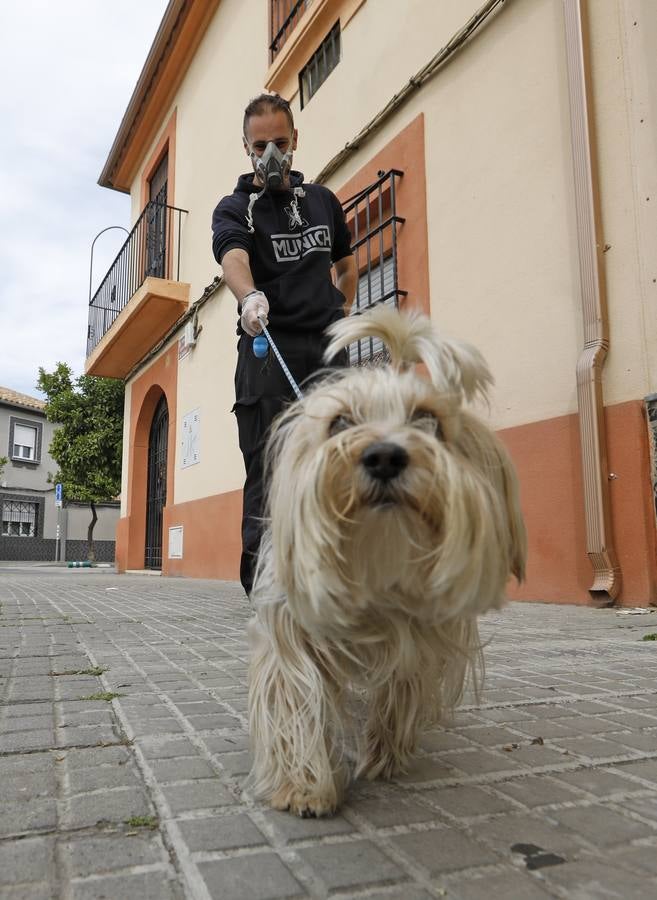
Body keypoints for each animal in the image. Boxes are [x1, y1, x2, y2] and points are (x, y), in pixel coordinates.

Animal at [243, 308, 524, 816]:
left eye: (429, 420)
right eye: (339, 422)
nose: (385, 456)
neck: (375, 566)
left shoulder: (424, 638)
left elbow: (403, 687)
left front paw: (386, 753)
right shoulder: (290, 631)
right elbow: (296, 696)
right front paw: (304, 785)